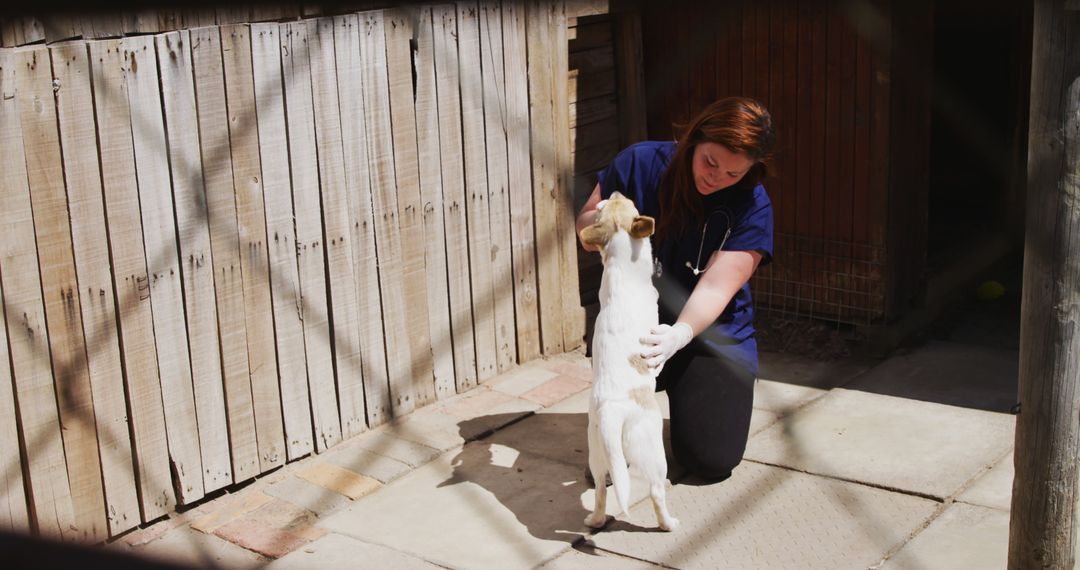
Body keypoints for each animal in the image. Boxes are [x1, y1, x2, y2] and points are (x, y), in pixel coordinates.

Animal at [578, 192, 678, 535]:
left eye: (613, 203)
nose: (616, 191)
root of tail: (612, 411)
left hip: (597, 453)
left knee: (599, 489)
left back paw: (595, 520)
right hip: (652, 453)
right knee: (657, 491)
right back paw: (668, 523)